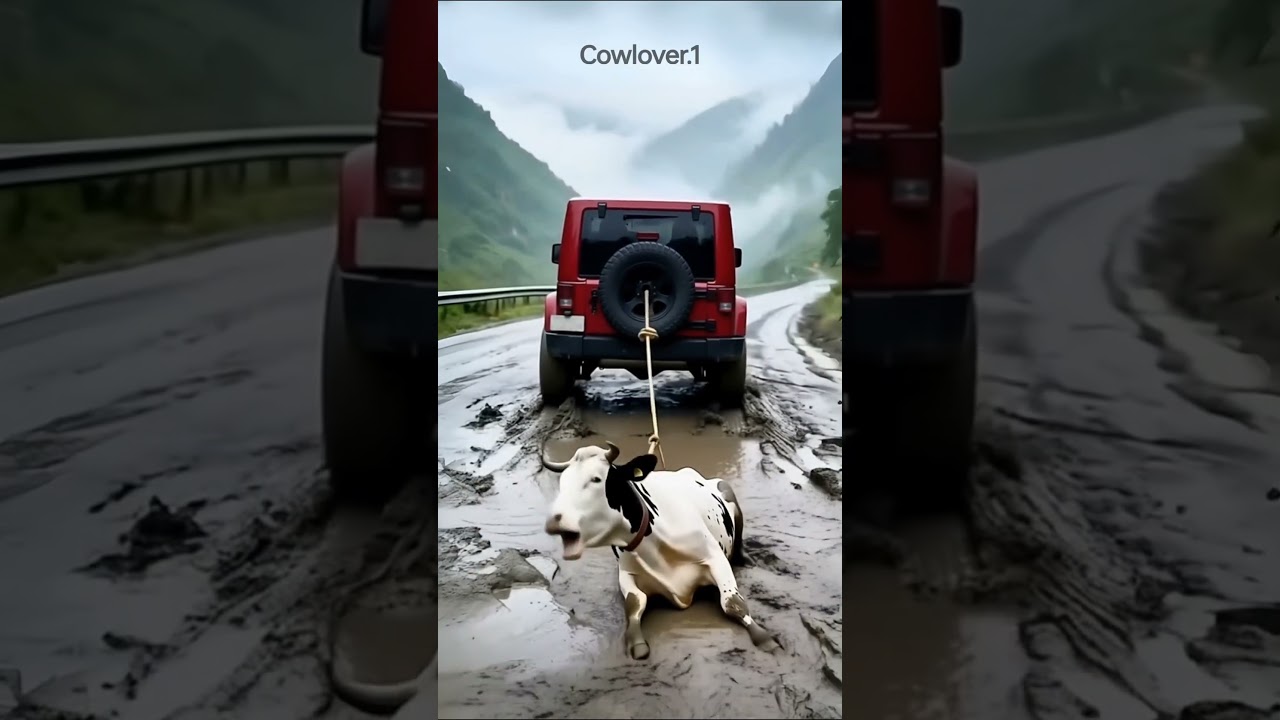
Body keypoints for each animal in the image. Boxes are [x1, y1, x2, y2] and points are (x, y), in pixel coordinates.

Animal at [542, 441, 780, 660]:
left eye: (596, 479)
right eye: (562, 484)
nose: (554, 520)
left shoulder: (716, 557)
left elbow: (732, 602)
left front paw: (764, 638)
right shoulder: (625, 573)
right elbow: (634, 603)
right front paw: (637, 643)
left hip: (729, 494)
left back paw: (746, 559)